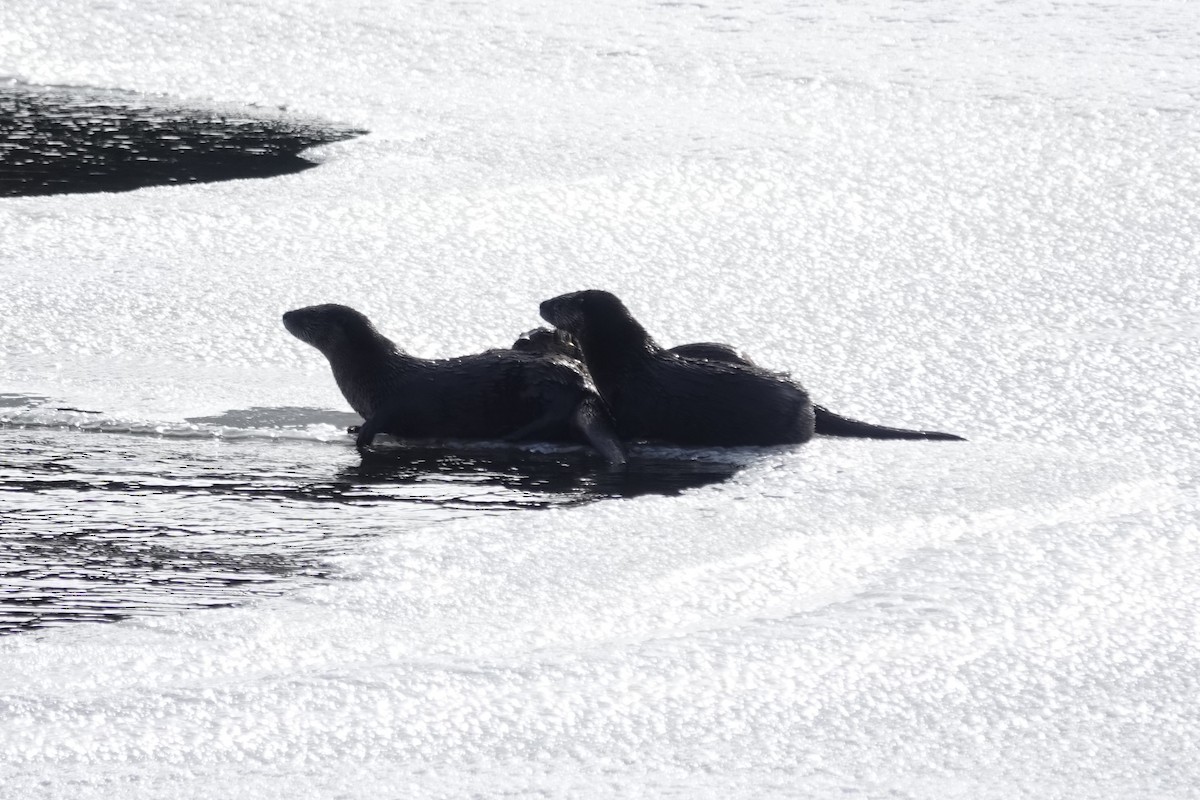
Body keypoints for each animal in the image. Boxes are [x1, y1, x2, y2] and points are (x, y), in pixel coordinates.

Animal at [282, 304, 626, 464]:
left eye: (310, 315)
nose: (286, 314)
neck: (370, 373)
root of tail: (583, 381)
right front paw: (353, 427)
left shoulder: (391, 403)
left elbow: (380, 422)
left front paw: (362, 438)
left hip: (542, 387)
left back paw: (510, 435)